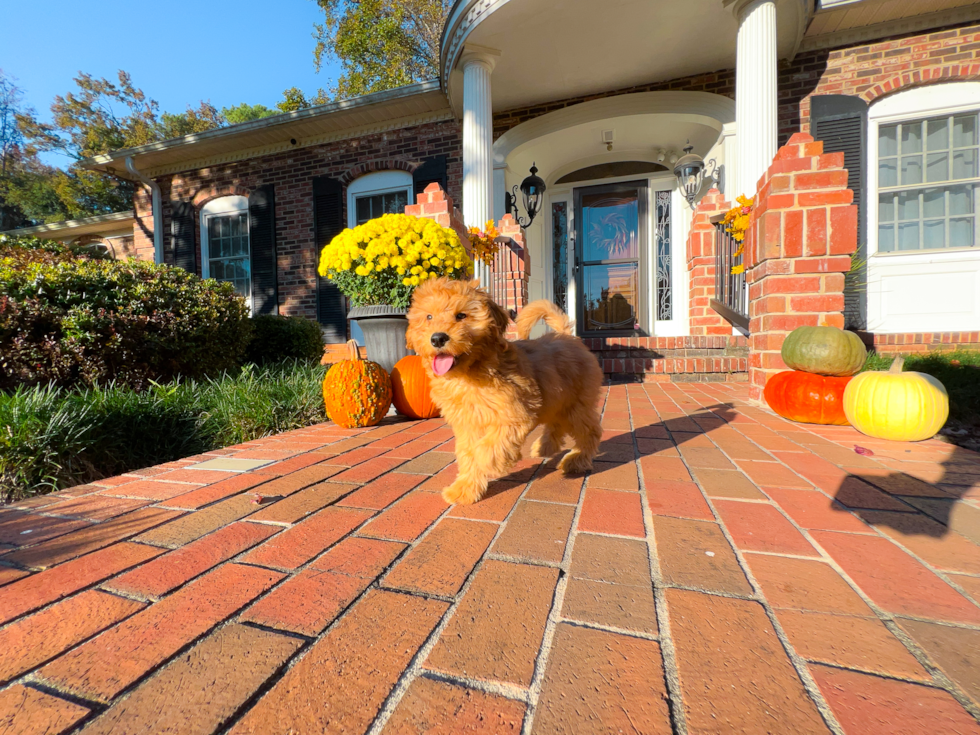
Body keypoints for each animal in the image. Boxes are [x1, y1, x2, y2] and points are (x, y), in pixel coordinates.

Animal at [406, 278, 604, 506]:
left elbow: (487, 448)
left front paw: (492, 463)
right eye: (428, 317)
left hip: (577, 404)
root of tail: (567, 336)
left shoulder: (514, 414)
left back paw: (575, 460)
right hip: (556, 398)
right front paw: (464, 489)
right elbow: (466, 454)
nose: (438, 338)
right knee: (557, 424)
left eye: (461, 315)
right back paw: (545, 447)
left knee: (590, 431)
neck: (470, 374)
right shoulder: (468, 424)